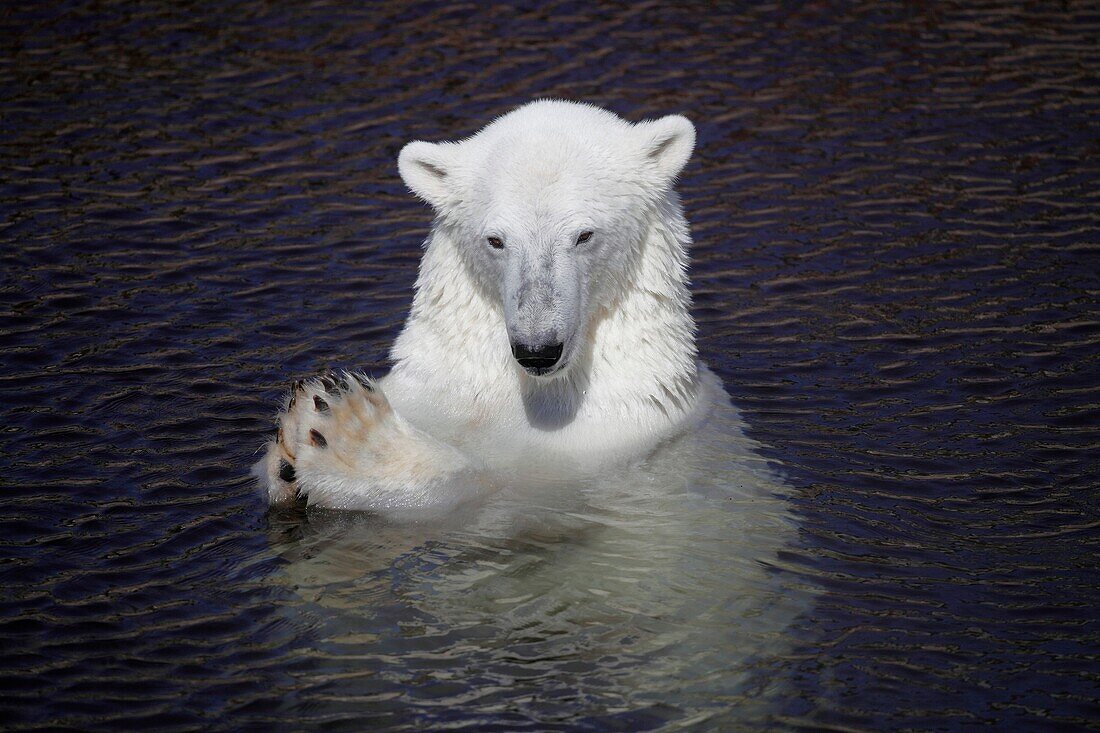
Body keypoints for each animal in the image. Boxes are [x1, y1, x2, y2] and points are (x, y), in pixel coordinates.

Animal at [253, 100, 726, 512]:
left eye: (584, 235)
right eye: (496, 240)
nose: (538, 350)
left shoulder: (602, 445)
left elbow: (488, 486)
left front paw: (346, 430)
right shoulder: (440, 389)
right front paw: (285, 453)